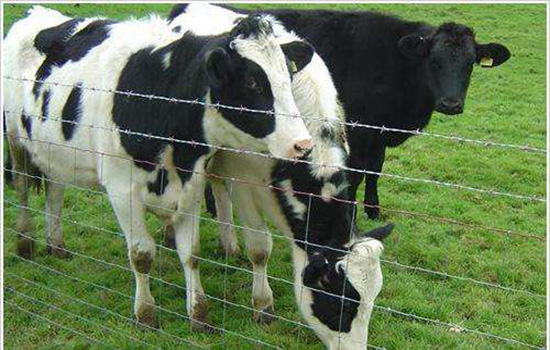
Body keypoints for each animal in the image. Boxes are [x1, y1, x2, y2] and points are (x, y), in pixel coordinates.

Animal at [3, 6, 314, 332]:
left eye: (289, 76)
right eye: (252, 83)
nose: (302, 144)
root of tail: (38, 12)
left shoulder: (191, 184)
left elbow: (191, 254)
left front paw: (198, 313)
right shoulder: (121, 190)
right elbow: (141, 254)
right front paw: (145, 314)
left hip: (53, 149)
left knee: (55, 190)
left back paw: (56, 244)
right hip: (14, 137)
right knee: (22, 187)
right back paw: (25, 243)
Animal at [170, 3, 516, 219]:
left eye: (470, 63)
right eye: (434, 61)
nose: (451, 104)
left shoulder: (378, 133)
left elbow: (376, 170)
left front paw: (373, 209)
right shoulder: (359, 131)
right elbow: (358, 174)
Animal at [170, 4, 394, 348]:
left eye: (372, 301)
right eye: (340, 303)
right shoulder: (245, 177)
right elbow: (260, 248)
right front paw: (263, 306)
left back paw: (227, 243)